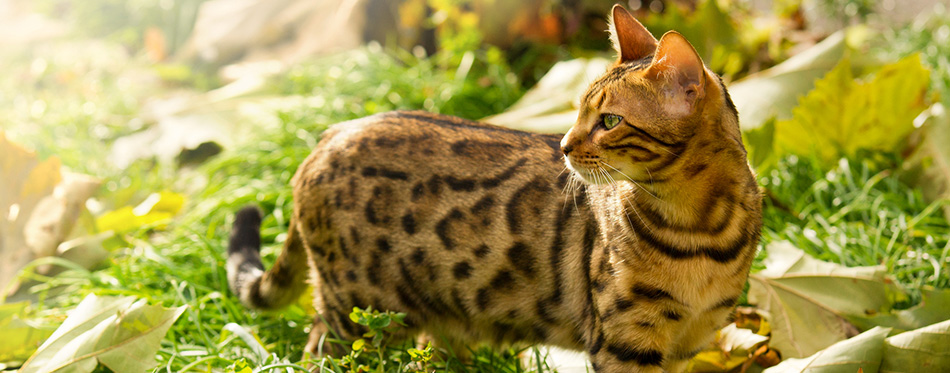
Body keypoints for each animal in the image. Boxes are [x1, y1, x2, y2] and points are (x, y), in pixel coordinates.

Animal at [225, 5, 768, 370]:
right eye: (578, 111)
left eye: (610, 121)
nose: (563, 145)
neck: (700, 227)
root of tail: (327, 136)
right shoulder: (624, 340)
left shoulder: (690, 340)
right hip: (355, 308)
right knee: (318, 350)